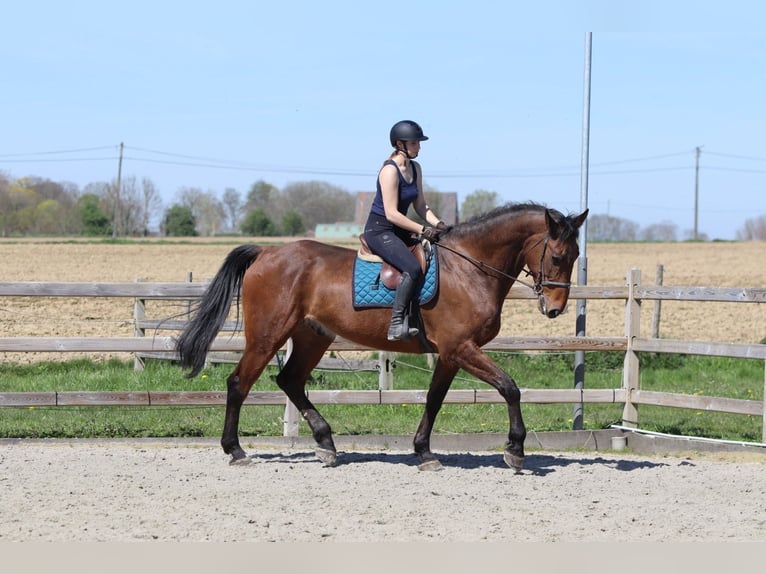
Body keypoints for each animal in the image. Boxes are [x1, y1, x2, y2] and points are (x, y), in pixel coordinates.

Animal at [176, 202, 588, 472]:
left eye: (575, 257)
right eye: (556, 257)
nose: (554, 309)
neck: (468, 268)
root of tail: (266, 252)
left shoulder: (450, 354)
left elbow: (434, 400)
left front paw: (424, 452)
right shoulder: (461, 348)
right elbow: (510, 388)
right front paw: (515, 449)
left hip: (312, 337)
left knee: (289, 380)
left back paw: (326, 444)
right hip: (267, 336)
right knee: (239, 383)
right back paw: (236, 450)